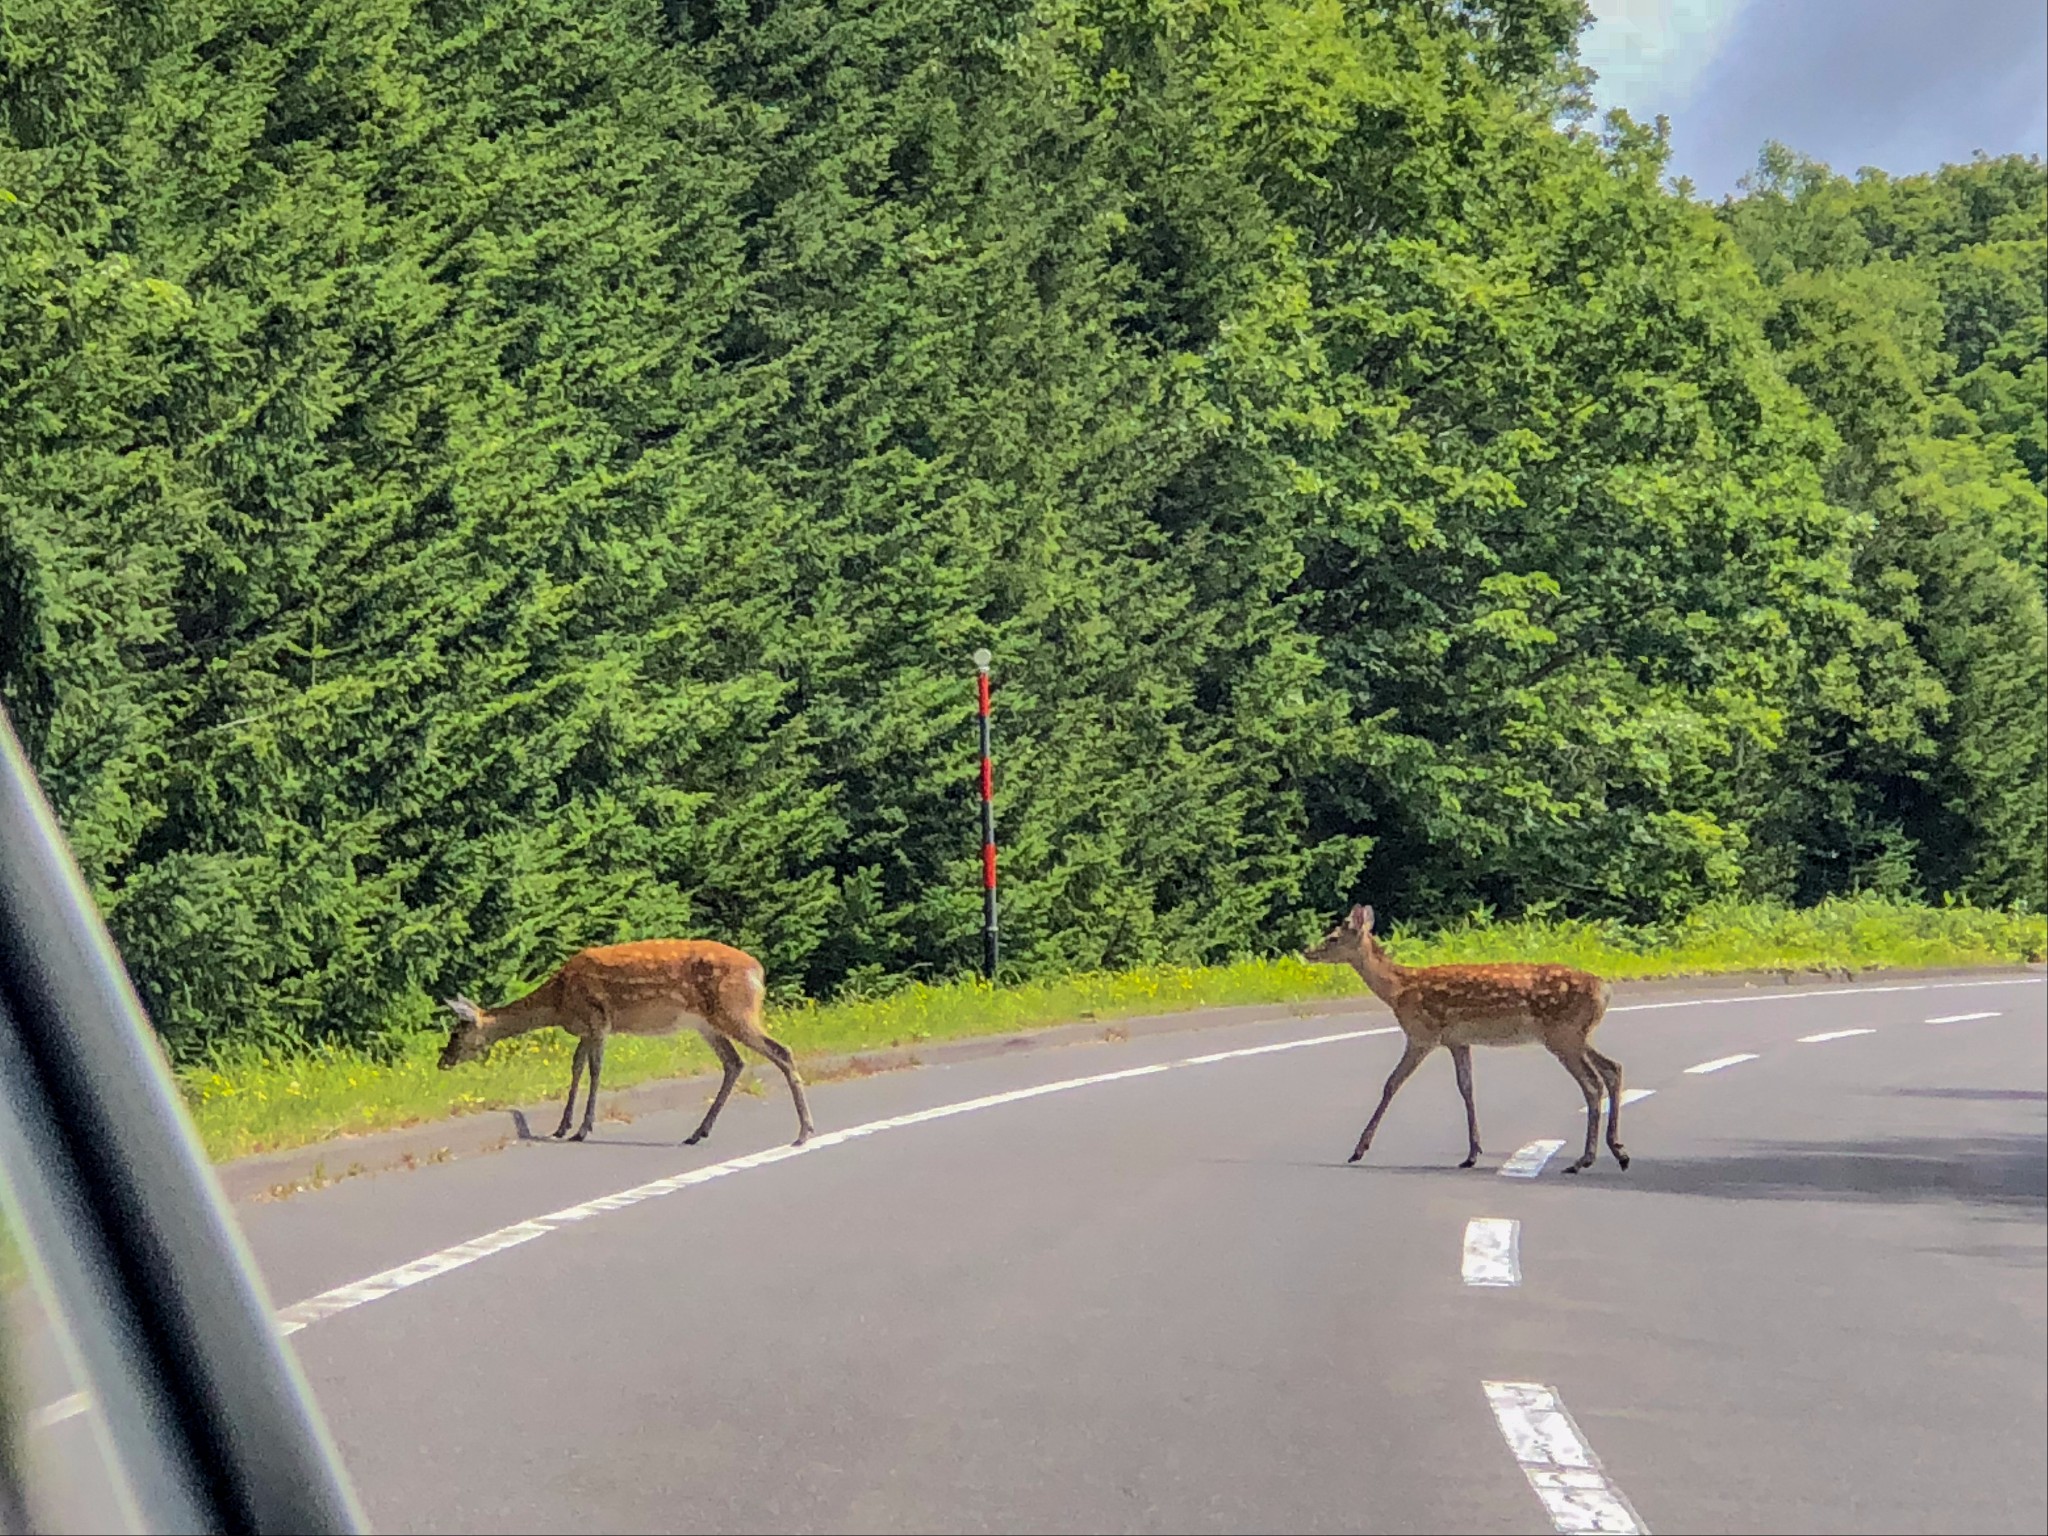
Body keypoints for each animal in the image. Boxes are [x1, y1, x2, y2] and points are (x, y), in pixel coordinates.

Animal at [440, 946, 815, 1146]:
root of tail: (758, 972)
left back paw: (804, 1132)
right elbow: (575, 1066)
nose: (442, 1061)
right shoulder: (585, 1028)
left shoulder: (598, 1020)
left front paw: (583, 1129)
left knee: (781, 1051)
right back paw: (698, 1132)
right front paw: (561, 1127)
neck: (558, 1002)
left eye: (457, 1033)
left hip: (735, 1011)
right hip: (707, 1023)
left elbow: (595, 1070)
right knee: (734, 1062)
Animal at [1302, 901, 1622, 1179]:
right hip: (1576, 1035)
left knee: (1592, 1083)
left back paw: (1584, 1160)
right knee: (1612, 1069)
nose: (1307, 952)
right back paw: (1618, 1152)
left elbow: (1391, 1083)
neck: (1398, 990)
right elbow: (1466, 1088)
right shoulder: (1458, 1041)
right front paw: (1472, 1153)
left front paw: (1358, 1150)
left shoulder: (1422, 1034)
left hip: (1563, 1035)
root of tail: (1604, 989)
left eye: (1332, 937)